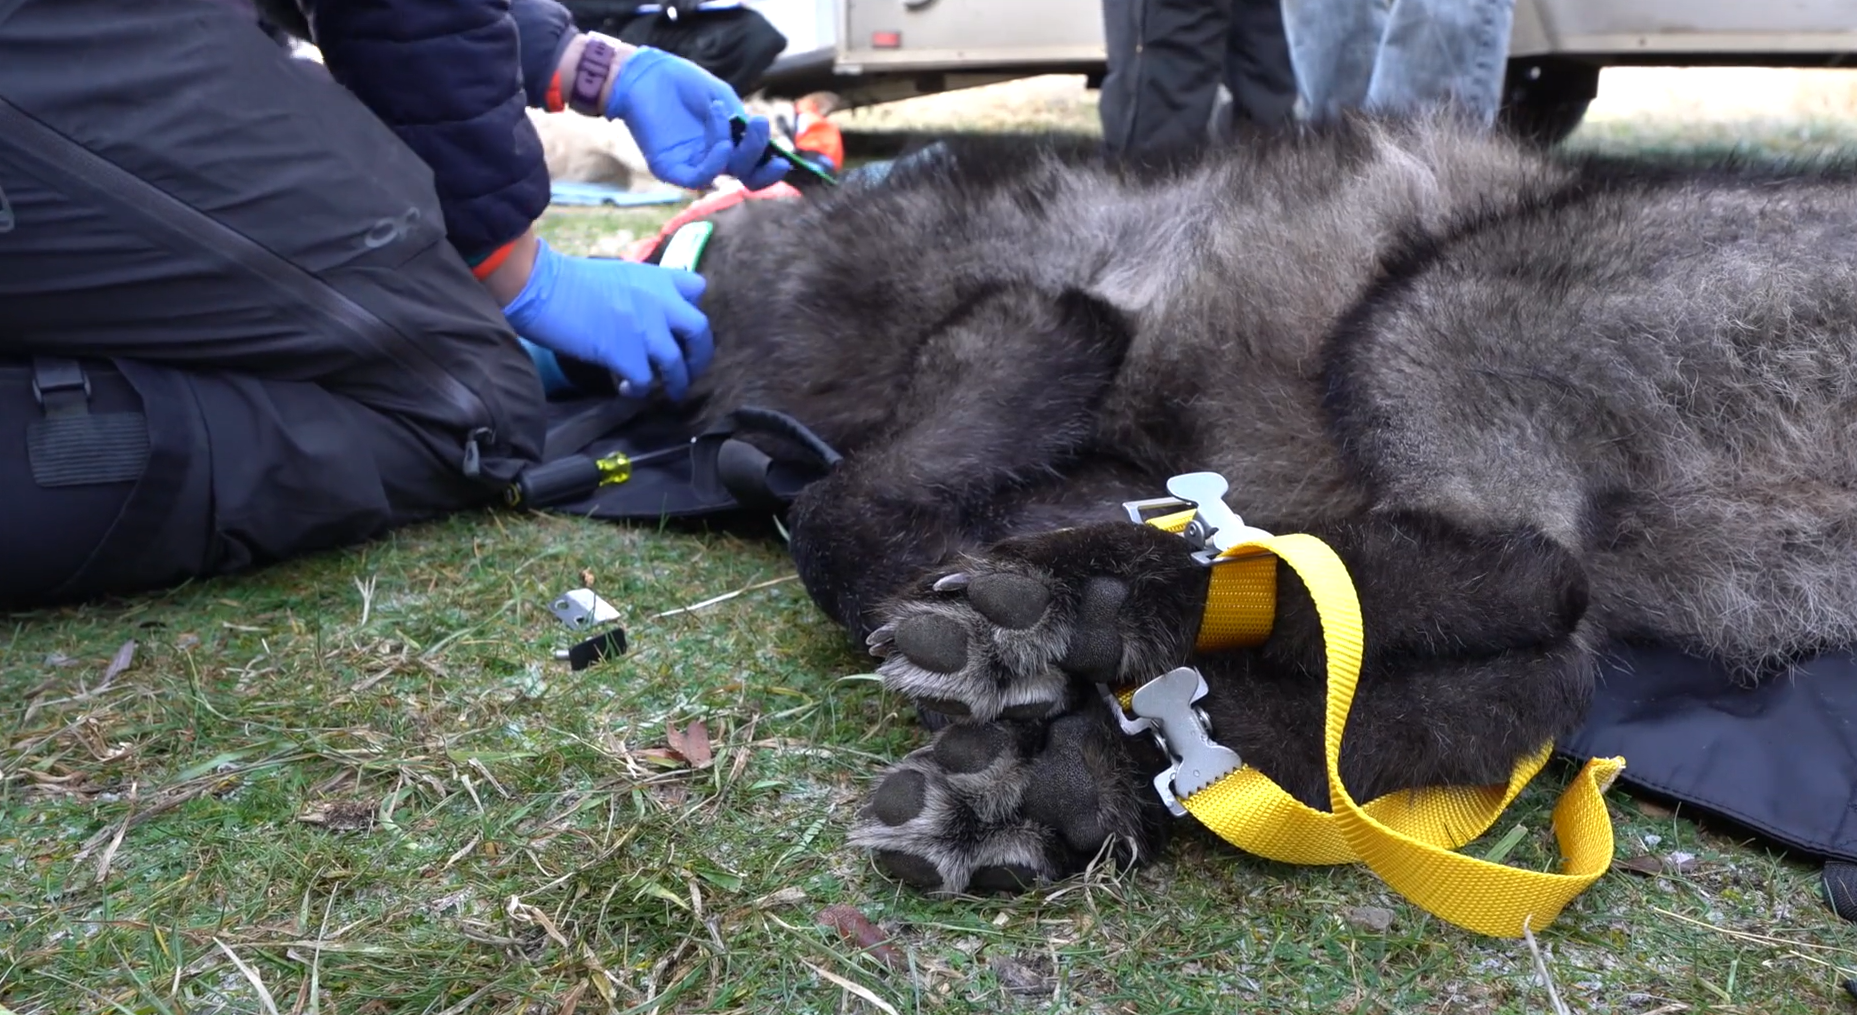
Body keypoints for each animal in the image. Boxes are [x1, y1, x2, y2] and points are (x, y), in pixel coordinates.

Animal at [678, 116, 1857, 895]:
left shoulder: (1045, 316)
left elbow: (831, 507)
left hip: (1434, 309)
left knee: (1529, 582)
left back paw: (1106, 605)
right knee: (1521, 681)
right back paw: (1084, 771)